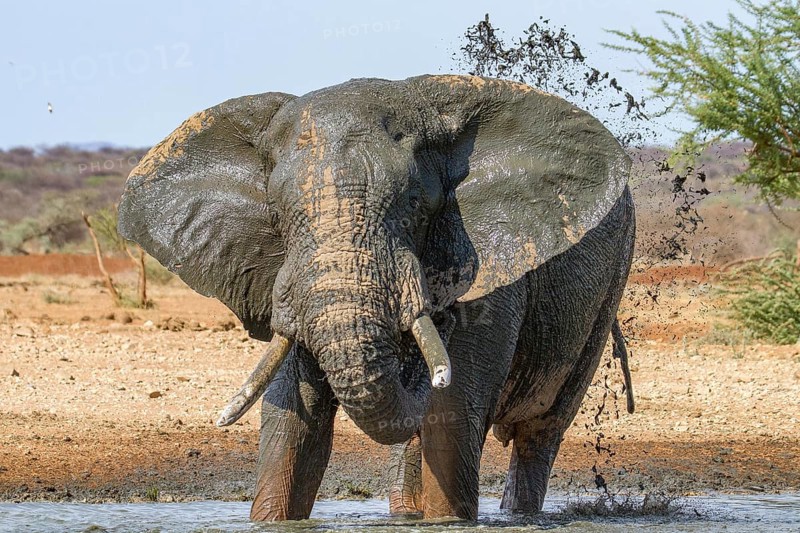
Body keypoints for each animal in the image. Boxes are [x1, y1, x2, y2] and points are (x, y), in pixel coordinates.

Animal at [117, 74, 636, 521]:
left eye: (416, 205)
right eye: (278, 215)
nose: (436, 316)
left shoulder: (492, 277)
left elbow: (451, 421)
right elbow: (292, 427)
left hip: (609, 283)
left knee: (540, 431)